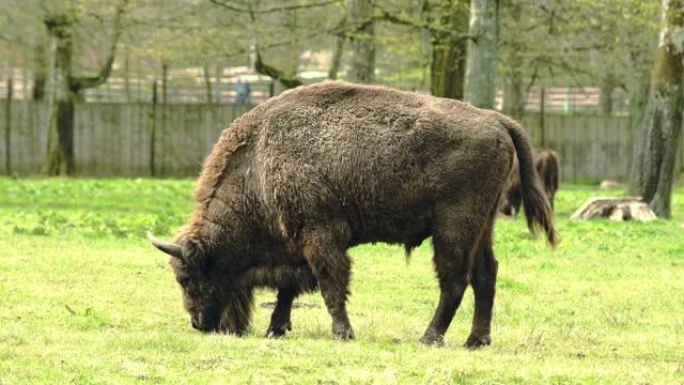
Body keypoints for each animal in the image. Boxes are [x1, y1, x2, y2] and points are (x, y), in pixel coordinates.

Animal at [146, 79, 556, 346]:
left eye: (187, 278)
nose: (198, 324)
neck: (259, 163)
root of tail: (496, 119)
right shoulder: (296, 245)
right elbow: (288, 288)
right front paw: (276, 329)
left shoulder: (319, 236)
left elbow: (330, 285)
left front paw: (342, 333)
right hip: (483, 227)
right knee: (486, 275)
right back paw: (476, 340)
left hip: (454, 228)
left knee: (454, 281)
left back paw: (429, 337)